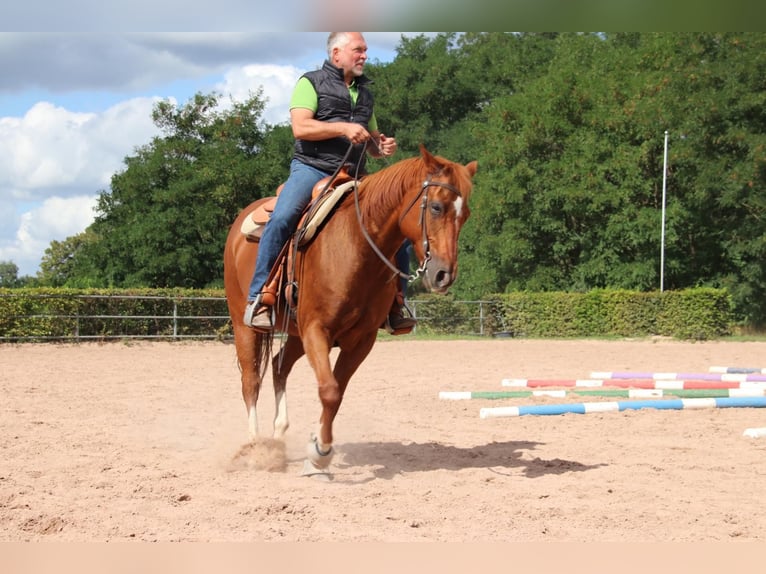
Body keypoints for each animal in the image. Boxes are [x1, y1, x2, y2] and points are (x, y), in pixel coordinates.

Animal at [220, 146, 480, 480]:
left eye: (466, 214)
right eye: (436, 207)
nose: (444, 275)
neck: (356, 247)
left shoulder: (361, 339)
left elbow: (337, 392)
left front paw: (317, 448)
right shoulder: (317, 329)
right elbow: (329, 390)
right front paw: (319, 455)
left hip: (296, 334)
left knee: (279, 367)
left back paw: (278, 439)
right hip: (246, 325)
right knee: (251, 380)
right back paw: (256, 448)